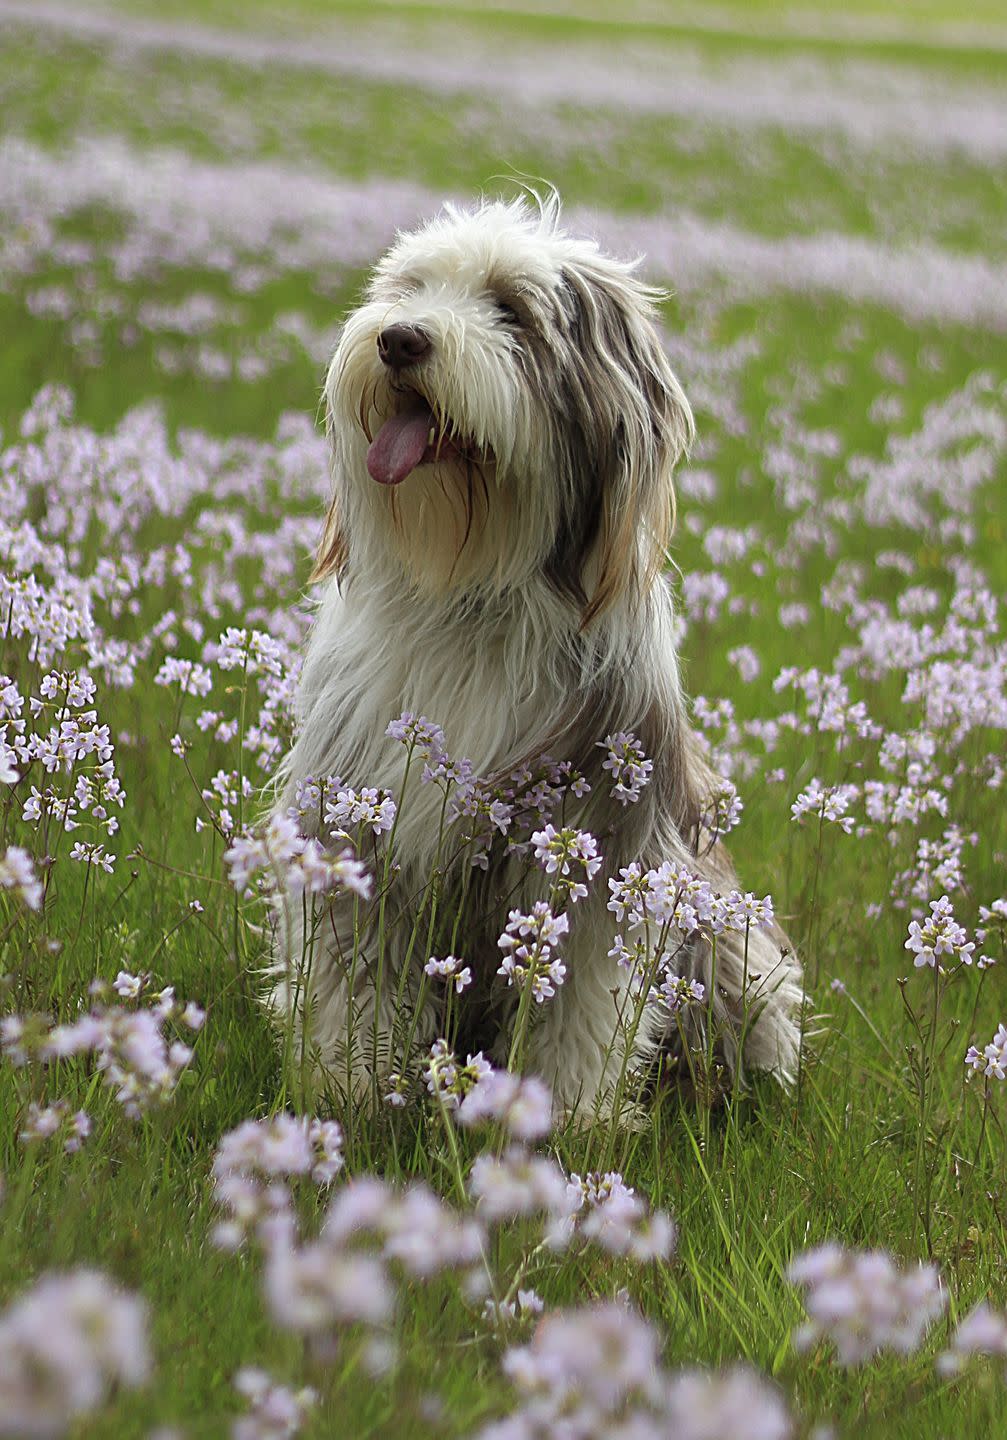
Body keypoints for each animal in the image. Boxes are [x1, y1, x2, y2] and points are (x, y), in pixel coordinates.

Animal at [278, 194, 800, 1111]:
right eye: (409, 287)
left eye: (511, 312)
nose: (400, 340)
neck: (471, 587)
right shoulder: (358, 809)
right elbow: (356, 968)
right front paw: (355, 1082)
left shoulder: (600, 835)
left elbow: (581, 989)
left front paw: (557, 1111)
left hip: (728, 940)